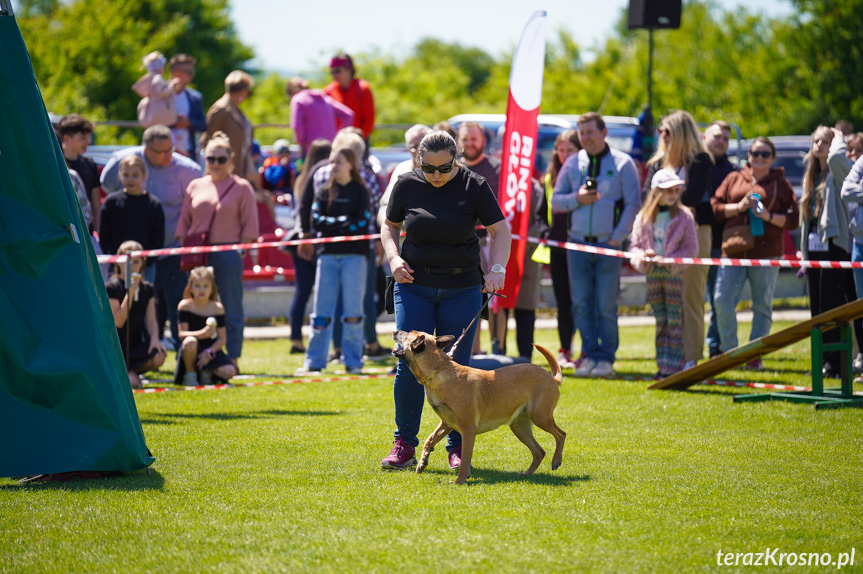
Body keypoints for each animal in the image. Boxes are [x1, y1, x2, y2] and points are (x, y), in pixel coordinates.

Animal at [394, 330, 568, 484]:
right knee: (539, 452)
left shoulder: (468, 430)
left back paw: (556, 460)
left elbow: (465, 459)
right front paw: (422, 463)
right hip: (519, 427)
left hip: (540, 417)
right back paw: (527, 474)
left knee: (561, 435)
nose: (395, 331)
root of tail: (551, 377)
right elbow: (428, 441)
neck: (438, 370)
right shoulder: (446, 424)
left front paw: (459, 481)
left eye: (406, 334)